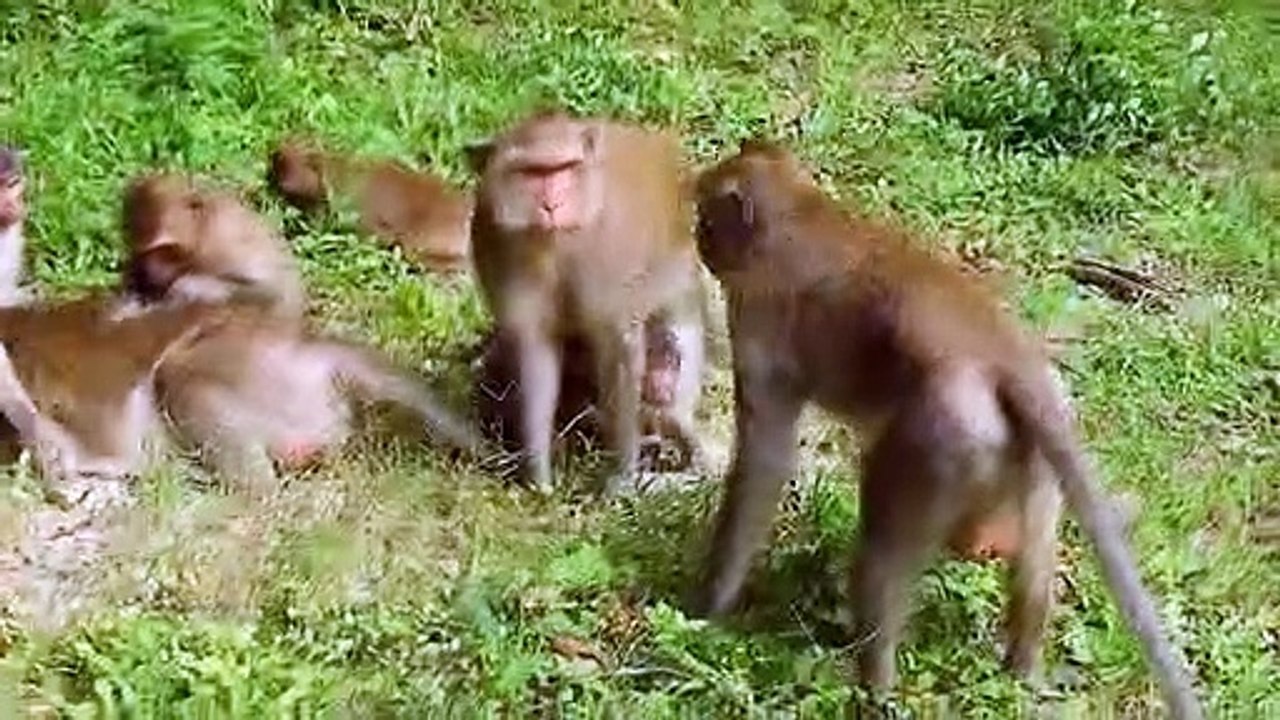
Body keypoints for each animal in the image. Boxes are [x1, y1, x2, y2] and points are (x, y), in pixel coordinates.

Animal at [465, 110, 706, 494]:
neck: (556, 243)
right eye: (532, 172)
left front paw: (622, 474)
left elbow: (619, 344)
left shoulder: (612, 251)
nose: (552, 205)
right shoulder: (495, 240)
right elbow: (535, 348)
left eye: (564, 168)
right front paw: (538, 473)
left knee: (665, 392)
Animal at [687, 140, 1203, 719]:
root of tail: (1008, 356)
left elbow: (766, 457)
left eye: (706, 217)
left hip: (942, 437)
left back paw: (875, 687)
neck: (801, 210)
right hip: (1027, 449)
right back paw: (1022, 666)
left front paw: (708, 605)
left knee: (881, 555)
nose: (699, 239)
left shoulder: (757, 314)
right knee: (1030, 559)